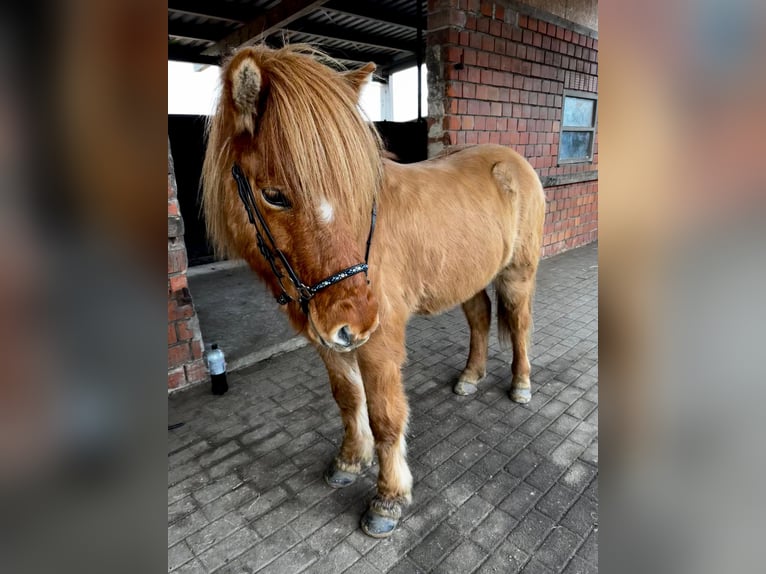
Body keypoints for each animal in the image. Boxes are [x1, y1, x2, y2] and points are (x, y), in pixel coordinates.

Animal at [201, 46, 544, 540]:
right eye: (274, 195)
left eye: (354, 190)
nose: (358, 318)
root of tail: (514, 161)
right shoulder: (329, 341)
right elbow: (349, 400)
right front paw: (349, 461)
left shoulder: (378, 341)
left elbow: (384, 415)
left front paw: (389, 497)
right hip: (468, 277)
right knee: (480, 317)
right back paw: (470, 377)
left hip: (517, 274)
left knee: (518, 324)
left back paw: (520, 385)